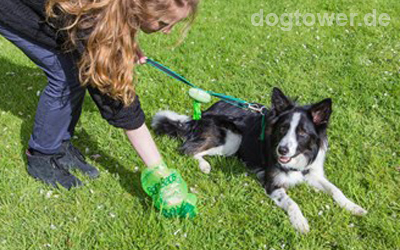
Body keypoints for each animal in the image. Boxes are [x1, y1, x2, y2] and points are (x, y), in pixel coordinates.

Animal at [152, 87, 368, 232]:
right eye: (283, 128)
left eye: (302, 133)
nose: (282, 150)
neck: (299, 158)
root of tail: (200, 116)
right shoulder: (272, 183)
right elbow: (291, 202)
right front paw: (300, 222)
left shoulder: (312, 173)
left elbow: (335, 190)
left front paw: (353, 206)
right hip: (232, 139)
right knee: (188, 149)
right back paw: (204, 165)